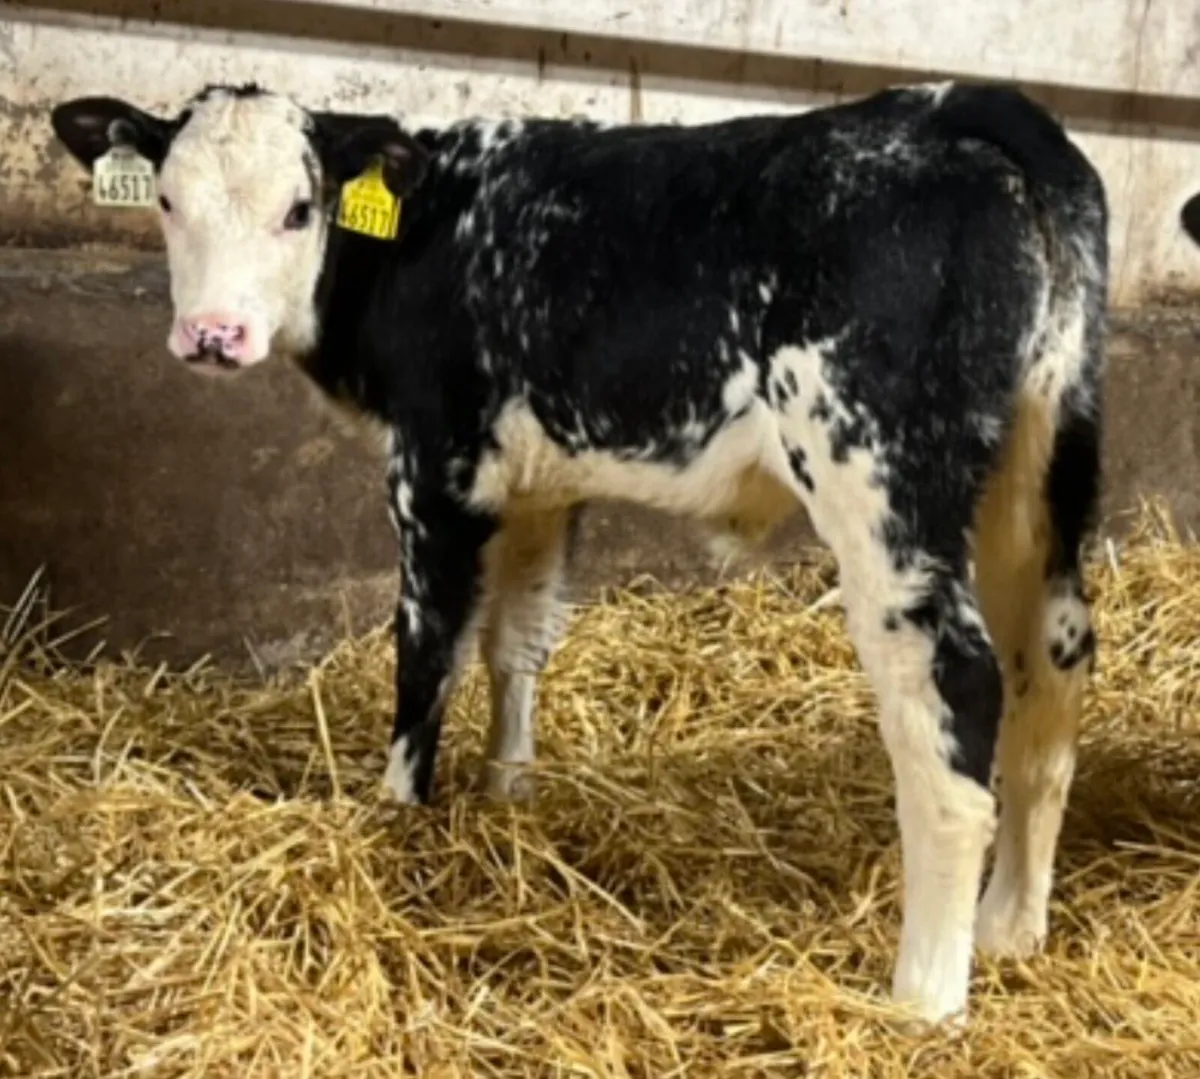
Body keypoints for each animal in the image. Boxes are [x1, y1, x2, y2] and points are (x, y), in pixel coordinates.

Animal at [51, 79, 1108, 1026]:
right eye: (166, 199)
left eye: (298, 209)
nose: (212, 335)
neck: (435, 231)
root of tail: (962, 107)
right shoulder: (538, 484)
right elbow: (516, 640)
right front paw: (508, 789)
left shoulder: (433, 467)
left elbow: (425, 654)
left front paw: (399, 815)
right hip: (1039, 470)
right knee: (1052, 665)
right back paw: (1012, 927)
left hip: (881, 483)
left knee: (955, 687)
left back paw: (925, 996)